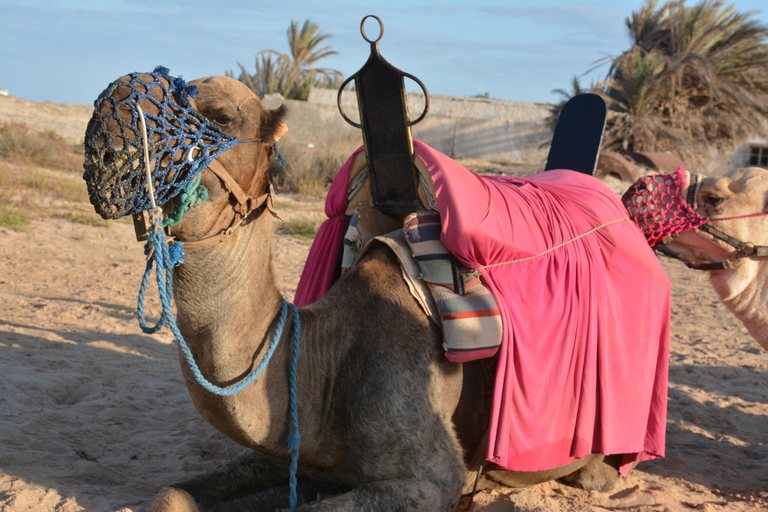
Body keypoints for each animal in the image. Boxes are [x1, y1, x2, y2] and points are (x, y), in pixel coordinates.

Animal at [81, 73, 672, 512]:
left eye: (222, 116)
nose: (108, 128)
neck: (324, 361)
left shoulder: (430, 477)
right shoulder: (290, 447)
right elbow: (170, 495)